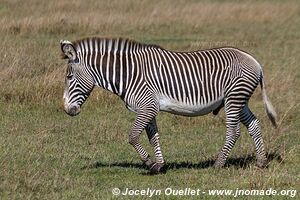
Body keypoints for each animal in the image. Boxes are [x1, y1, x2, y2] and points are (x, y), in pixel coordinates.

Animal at [60, 37, 276, 173]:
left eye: (69, 77)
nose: (68, 110)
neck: (128, 75)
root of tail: (254, 61)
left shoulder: (147, 106)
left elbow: (132, 136)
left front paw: (148, 162)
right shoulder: (149, 108)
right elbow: (153, 136)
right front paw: (159, 164)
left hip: (234, 98)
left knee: (234, 131)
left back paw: (218, 163)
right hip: (239, 100)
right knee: (254, 125)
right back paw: (261, 161)